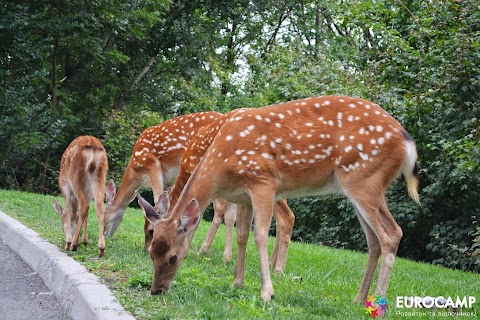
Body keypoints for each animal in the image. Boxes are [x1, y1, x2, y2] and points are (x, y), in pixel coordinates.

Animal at [103, 111, 223, 251]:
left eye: (104, 218)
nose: (104, 234)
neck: (135, 171)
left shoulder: (152, 165)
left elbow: (157, 199)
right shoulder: (168, 181)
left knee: (220, 207)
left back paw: (203, 250)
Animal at [137, 96, 418, 302]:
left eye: (173, 257)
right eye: (151, 252)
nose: (156, 290)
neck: (221, 165)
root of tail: (408, 142)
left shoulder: (263, 182)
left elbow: (261, 234)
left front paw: (267, 293)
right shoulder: (243, 197)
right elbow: (242, 236)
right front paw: (237, 283)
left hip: (364, 179)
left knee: (392, 233)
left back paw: (378, 302)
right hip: (358, 186)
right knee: (374, 241)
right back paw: (359, 299)